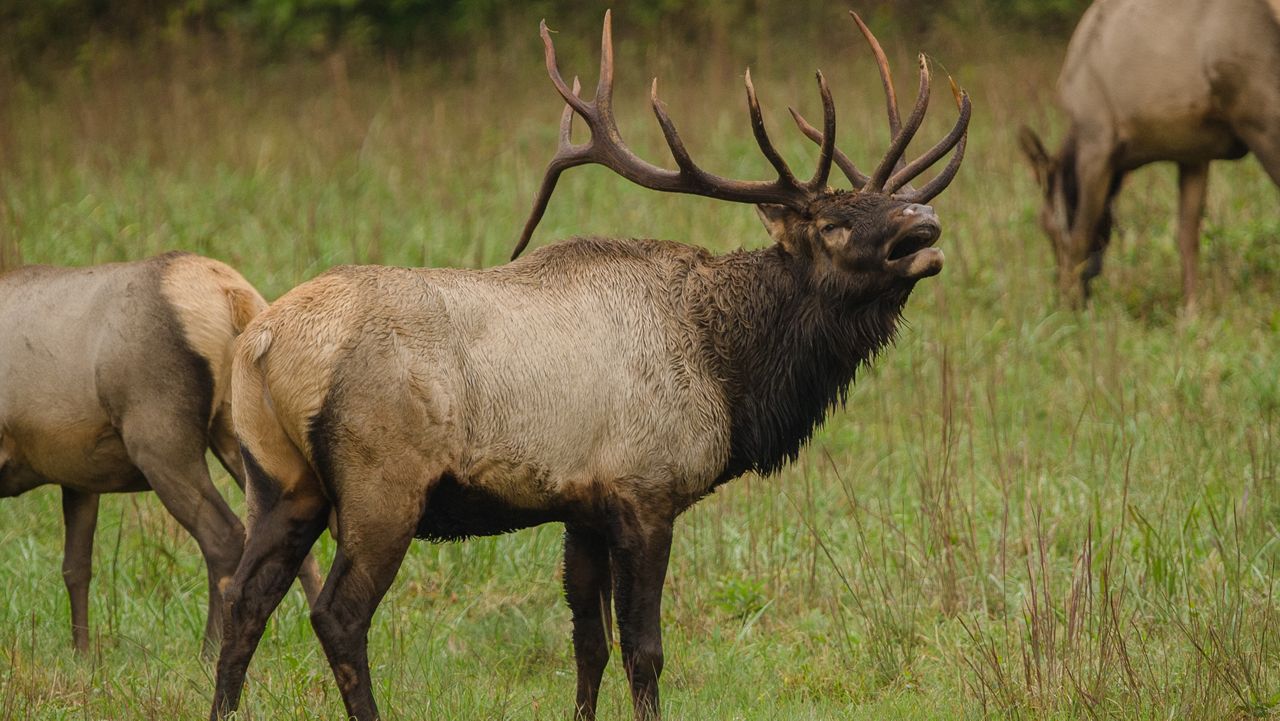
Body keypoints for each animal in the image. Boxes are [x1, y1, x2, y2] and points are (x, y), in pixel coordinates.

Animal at [0, 252, 320, 655]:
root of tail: (233, 294)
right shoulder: (78, 475)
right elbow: (76, 566)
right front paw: (83, 655)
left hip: (161, 441)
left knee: (224, 536)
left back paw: (208, 651)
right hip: (240, 431)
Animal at [209, 12, 967, 721]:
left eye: (886, 202)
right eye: (833, 225)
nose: (923, 222)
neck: (731, 374)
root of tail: (262, 342)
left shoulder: (581, 506)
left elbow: (588, 645)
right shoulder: (646, 491)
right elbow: (644, 650)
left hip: (279, 479)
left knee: (242, 596)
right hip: (380, 483)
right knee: (338, 613)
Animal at [1018, 0, 1280, 307]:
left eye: (1045, 225)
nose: (1064, 294)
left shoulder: (1097, 141)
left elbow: (1081, 234)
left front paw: (1070, 308)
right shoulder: (1193, 154)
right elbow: (1187, 236)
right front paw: (1191, 309)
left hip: (1260, 114)